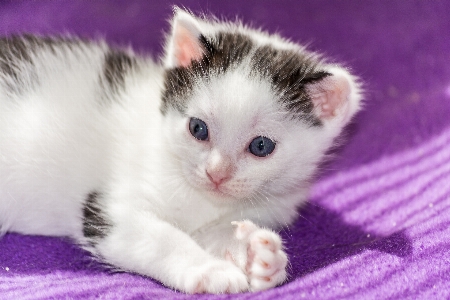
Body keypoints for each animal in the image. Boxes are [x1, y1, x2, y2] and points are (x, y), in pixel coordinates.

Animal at [0, 8, 360, 294]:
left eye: (261, 146)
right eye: (198, 129)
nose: (216, 173)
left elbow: (216, 233)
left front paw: (257, 255)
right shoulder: (110, 209)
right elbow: (161, 238)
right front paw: (210, 270)